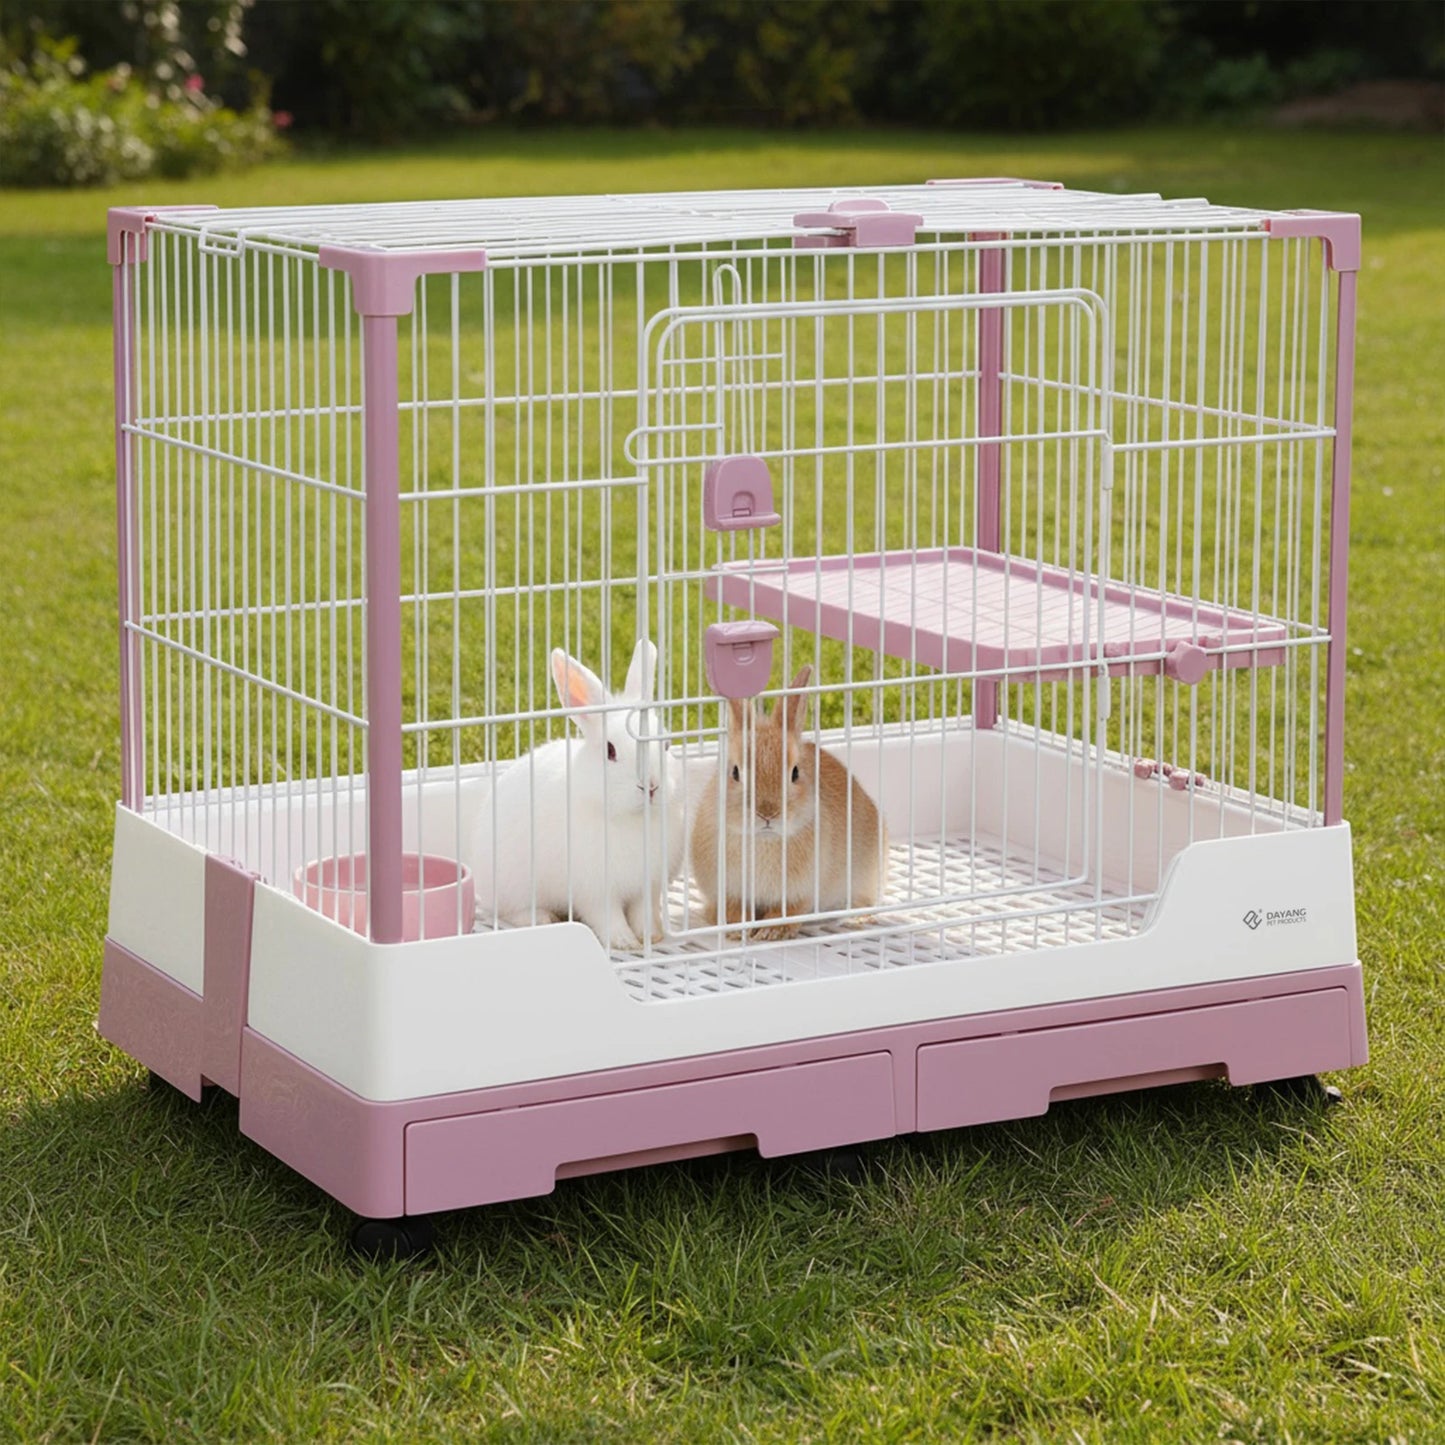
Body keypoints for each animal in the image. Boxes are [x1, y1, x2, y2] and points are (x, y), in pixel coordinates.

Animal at [471, 639, 684, 951]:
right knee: (510, 911)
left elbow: (642, 913)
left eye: (667, 744)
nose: (651, 786)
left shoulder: (647, 886)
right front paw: (624, 942)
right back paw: (543, 918)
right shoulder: (596, 890)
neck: (630, 819)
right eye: (610, 750)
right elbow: (608, 917)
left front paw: (650, 936)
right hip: (513, 886)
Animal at [690, 664, 889, 942]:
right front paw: (738, 927)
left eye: (795, 773)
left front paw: (770, 931)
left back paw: (858, 918)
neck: (763, 840)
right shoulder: (727, 890)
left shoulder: (801, 892)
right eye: (735, 772)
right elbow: (733, 908)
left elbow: (790, 912)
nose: (767, 813)